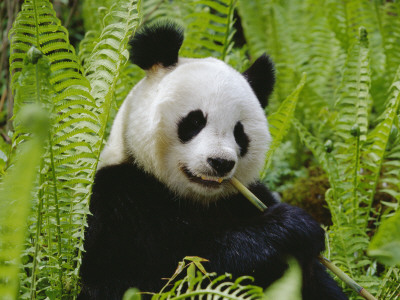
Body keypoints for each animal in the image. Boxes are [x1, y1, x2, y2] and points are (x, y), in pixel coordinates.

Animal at [78, 21, 346, 300]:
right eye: (195, 121)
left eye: (239, 132)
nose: (220, 162)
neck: (194, 200)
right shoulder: (117, 204)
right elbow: (164, 275)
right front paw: (292, 229)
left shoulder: (243, 198)